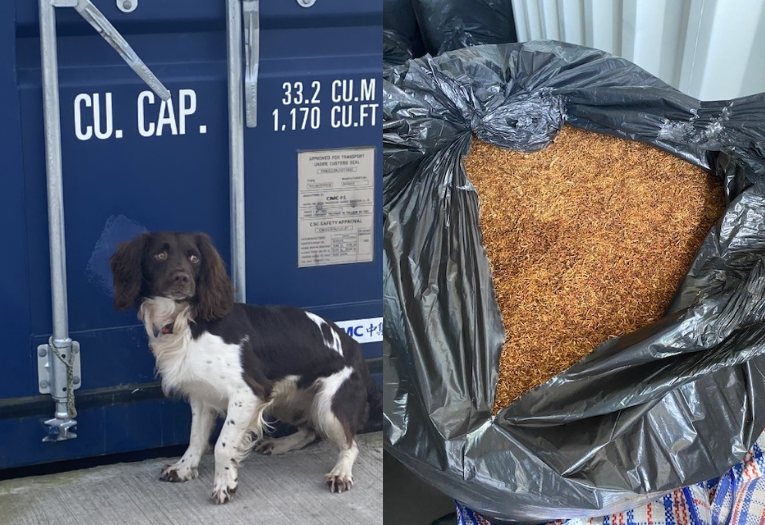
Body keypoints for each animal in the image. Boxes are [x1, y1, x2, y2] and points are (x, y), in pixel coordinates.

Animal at [109, 231, 380, 502]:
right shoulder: (202, 395)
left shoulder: (248, 393)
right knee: (311, 431)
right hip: (285, 399)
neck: (187, 320)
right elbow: (196, 438)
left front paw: (224, 484)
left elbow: (222, 445)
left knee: (350, 444)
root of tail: (356, 349)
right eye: (160, 254)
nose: (181, 278)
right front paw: (184, 468)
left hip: (329, 405)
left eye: (194, 258)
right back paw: (280, 444)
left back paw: (340, 473)